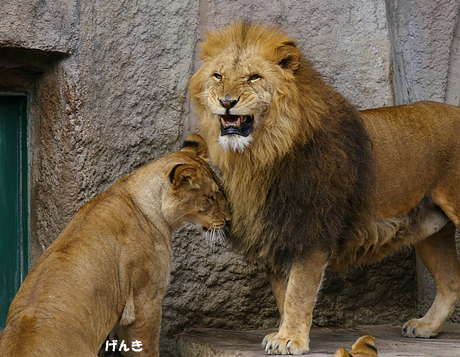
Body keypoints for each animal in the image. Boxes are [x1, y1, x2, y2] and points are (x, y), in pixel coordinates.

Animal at [189, 22, 460, 354]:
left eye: (254, 77)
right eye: (218, 76)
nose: (227, 102)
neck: (260, 155)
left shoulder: (311, 229)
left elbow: (299, 290)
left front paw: (289, 339)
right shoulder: (275, 231)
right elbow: (283, 292)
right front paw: (284, 332)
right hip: (432, 229)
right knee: (451, 283)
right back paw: (426, 326)